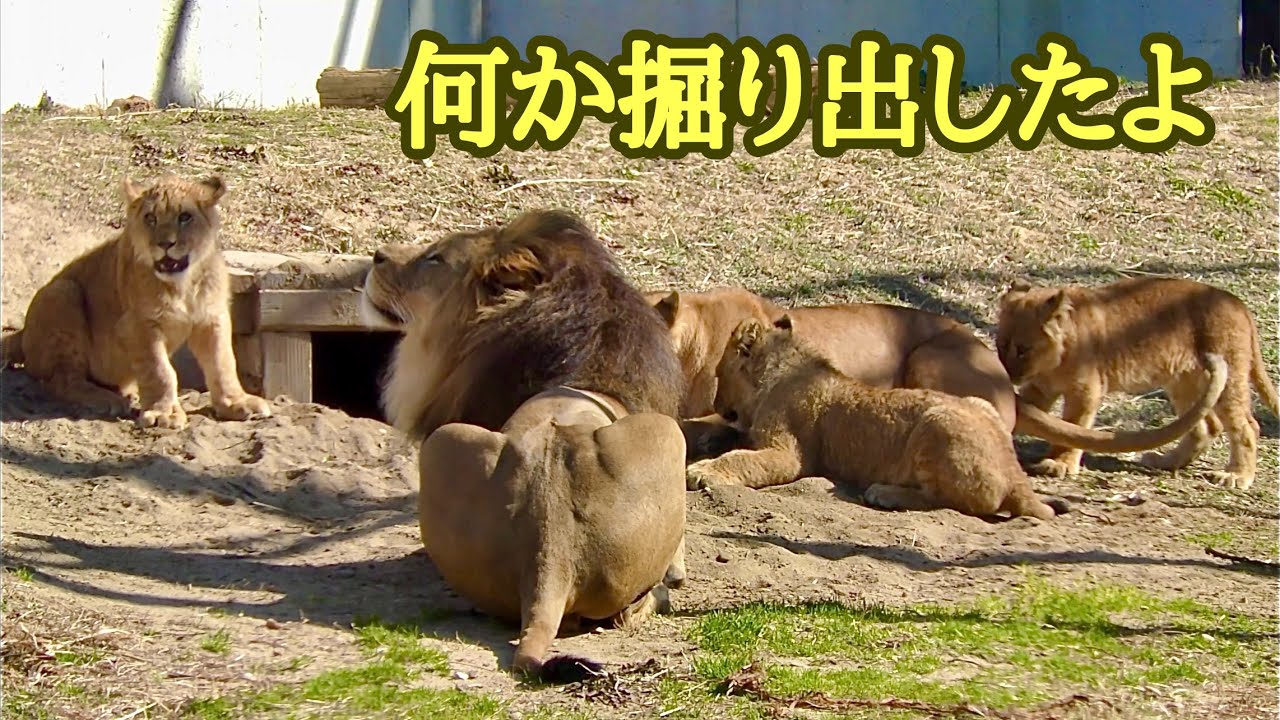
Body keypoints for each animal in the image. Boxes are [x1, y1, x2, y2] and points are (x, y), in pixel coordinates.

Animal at [0, 174, 271, 429]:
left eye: (185, 217)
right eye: (150, 218)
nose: (164, 244)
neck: (183, 285)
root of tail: (22, 333)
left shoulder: (212, 319)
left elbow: (223, 362)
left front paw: (236, 402)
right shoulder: (139, 325)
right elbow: (160, 371)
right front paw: (164, 414)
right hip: (63, 292)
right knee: (61, 380)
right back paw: (108, 400)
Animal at [686, 316, 1229, 520]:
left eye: (719, 371)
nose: (716, 395)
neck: (786, 364)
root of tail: (1019, 478)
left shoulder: (789, 452)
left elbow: (747, 460)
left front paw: (704, 472)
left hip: (937, 425)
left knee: (963, 502)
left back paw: (885, 492)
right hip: (975, 405)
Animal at [997, 277, 1278, 489]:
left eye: (1023, 349)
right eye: (1000, 345)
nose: (1007, 373)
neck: (1053, 362)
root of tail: (1239, 304)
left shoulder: (1086, 390)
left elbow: (1073, 426)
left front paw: (1061, 464)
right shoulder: (1040, 387)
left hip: (1228, 377)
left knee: (1248, 426)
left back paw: (1236, 476)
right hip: (1184, 381)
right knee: (1206, 425)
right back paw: (1166, 460)